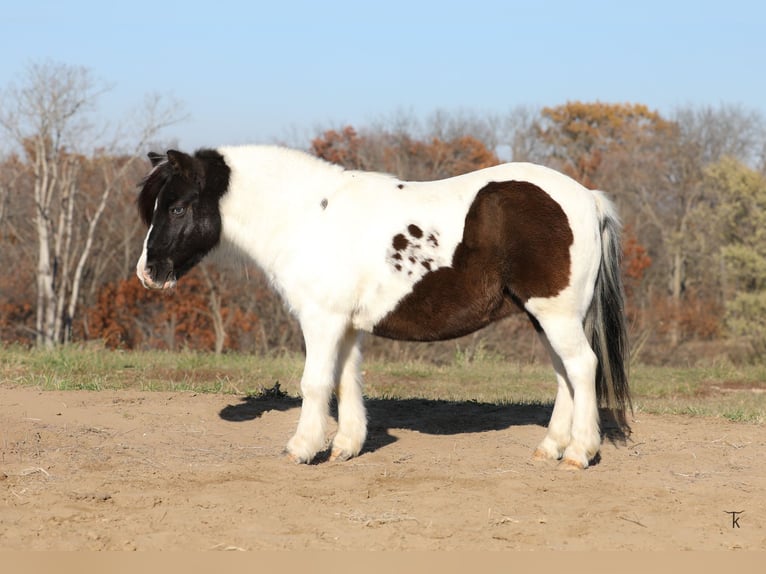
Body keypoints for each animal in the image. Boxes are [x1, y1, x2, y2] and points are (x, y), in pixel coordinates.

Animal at [135, 145, 630, 469]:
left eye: (177, 208)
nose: (148, 272)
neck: (309, 217)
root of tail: (587, 198)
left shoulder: (322, 321)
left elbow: (316, 383)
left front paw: (302, 447)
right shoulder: (348, 326)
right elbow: (347, 381)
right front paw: (346, 446)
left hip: (556, 315)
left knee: (582, 368)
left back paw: (580, 453)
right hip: (544, 316)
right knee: (565, 375)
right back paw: (551, 448)